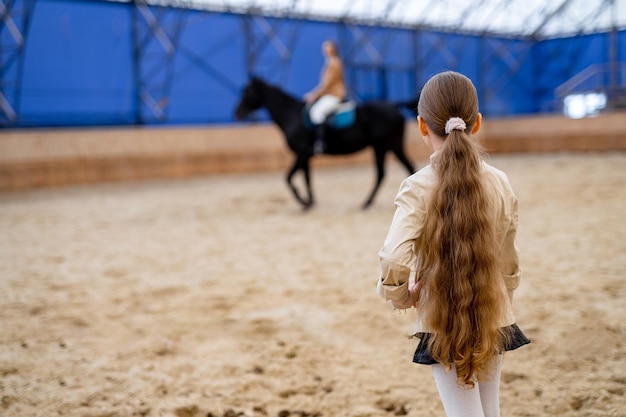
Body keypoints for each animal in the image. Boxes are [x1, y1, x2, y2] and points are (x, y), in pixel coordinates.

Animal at [234, 76, 414, 208]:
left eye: (248, 92)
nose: (237, 113)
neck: (292, 115)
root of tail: (394, 105)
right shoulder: (305, 157)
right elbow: (307, 178)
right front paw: (310, 202)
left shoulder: (301, 153)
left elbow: (289, 178)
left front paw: (303, 202)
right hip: (394, 146)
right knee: (408, 168)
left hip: (381, 147)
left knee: (381, 174)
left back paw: (366, 203)